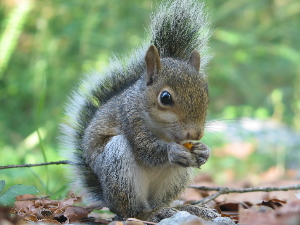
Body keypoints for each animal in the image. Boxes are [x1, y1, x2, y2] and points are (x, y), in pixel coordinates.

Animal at [61, 0, 220, 222]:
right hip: (118, 167)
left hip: (175, 178)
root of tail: (108, 200)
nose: (195, 134)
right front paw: (172, 151)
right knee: (133, 211)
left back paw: (185, 210)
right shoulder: (130, 118)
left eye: (205, 92)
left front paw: (204, 150)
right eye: (165, 97)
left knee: (161, 201)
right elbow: (145, 148)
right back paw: (152, 214)